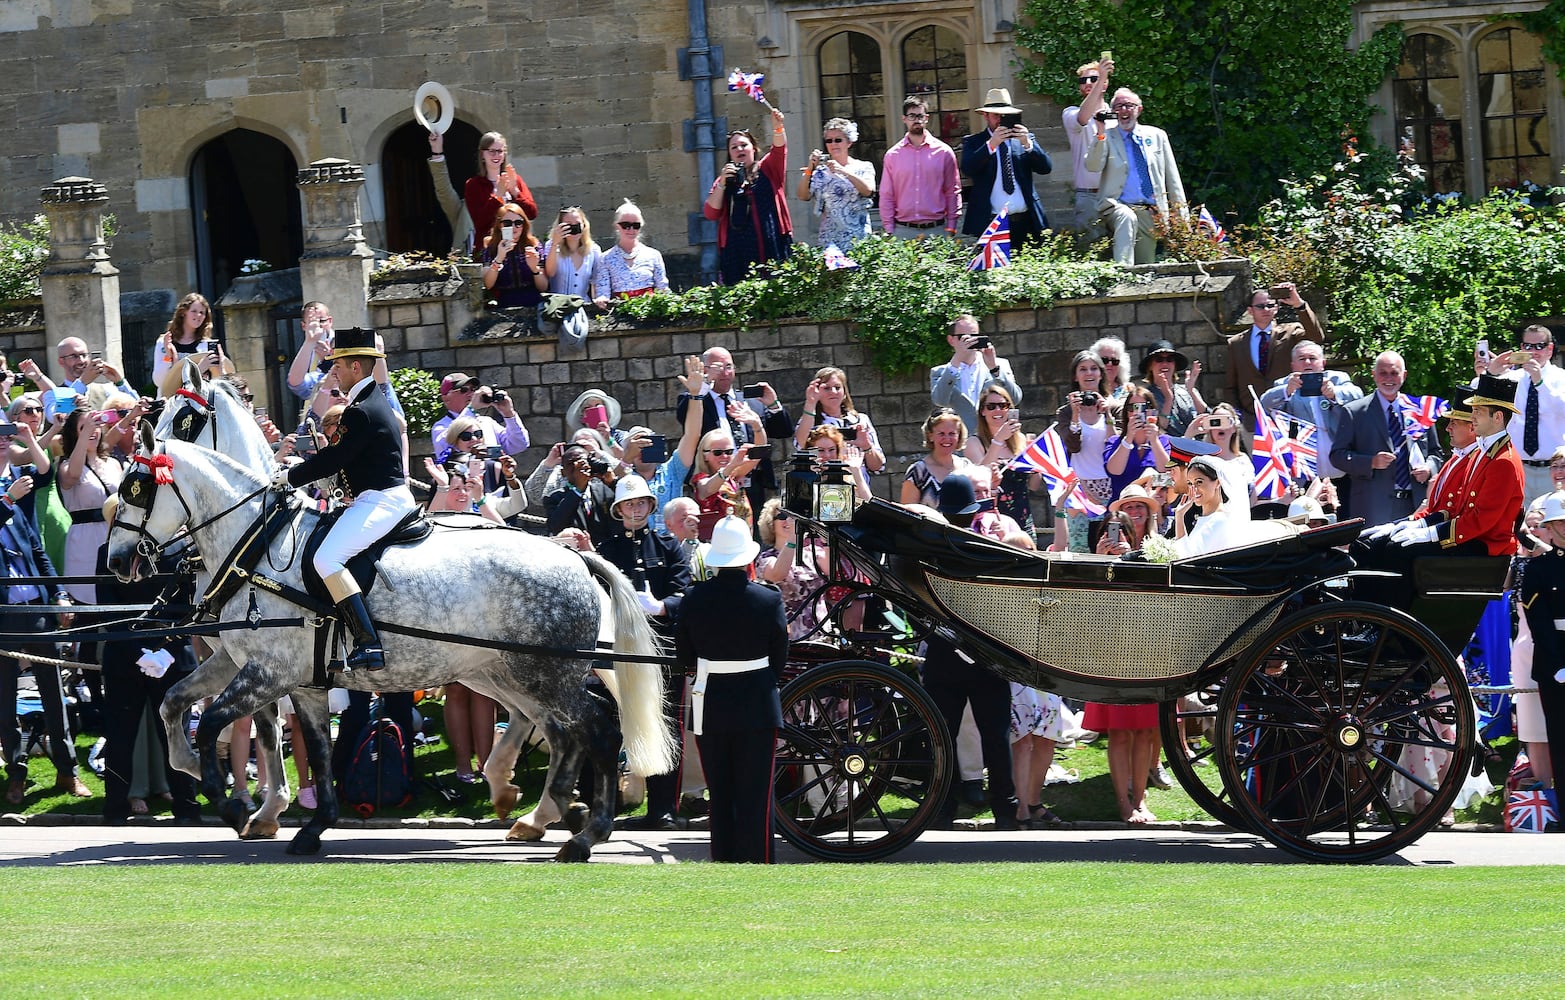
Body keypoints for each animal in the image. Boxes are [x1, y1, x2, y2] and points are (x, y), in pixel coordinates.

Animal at [108, 435, 672, 863]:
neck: (260, 550)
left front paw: (234, 806)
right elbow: (288, 740)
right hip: (508, 672)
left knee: (597, 728)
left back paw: (584, 833)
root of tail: (572, 555)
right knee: (565, 730)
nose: (115, 561)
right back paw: (545, 811)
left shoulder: (268, 672)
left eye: (135, 488)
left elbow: (213, 726)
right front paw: (308, 826)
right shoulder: (286, 677)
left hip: (541, 675)